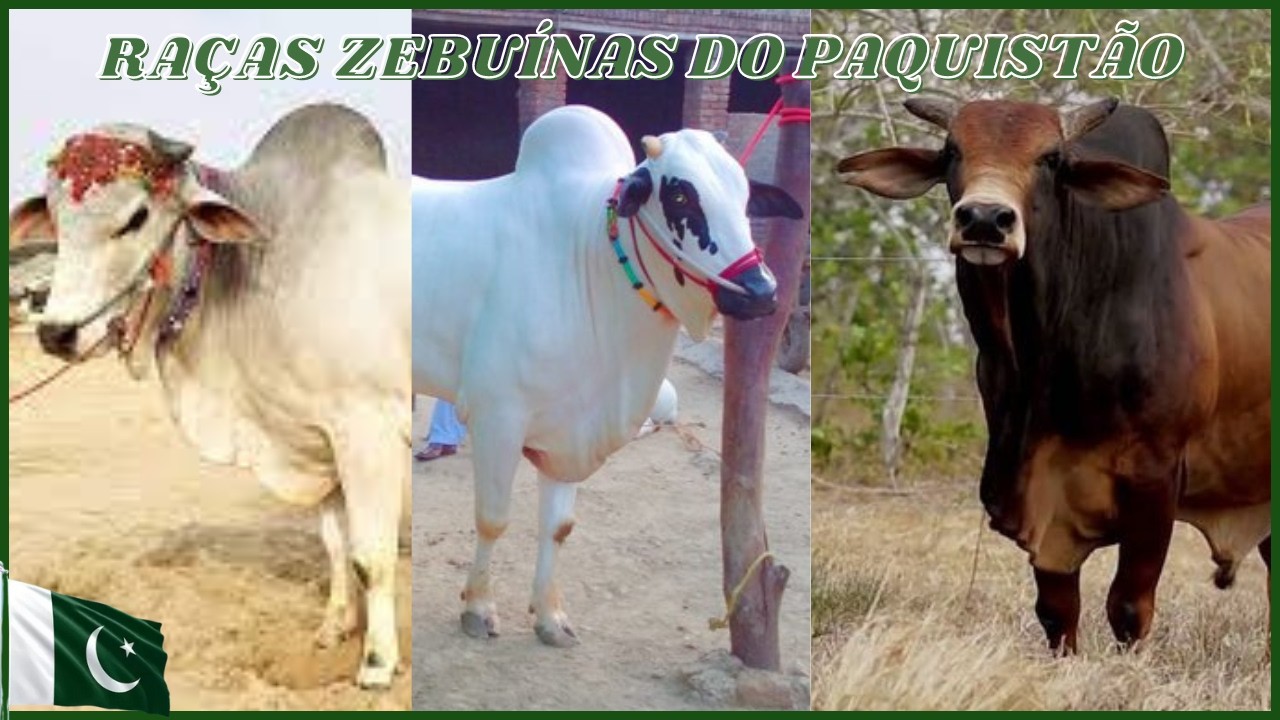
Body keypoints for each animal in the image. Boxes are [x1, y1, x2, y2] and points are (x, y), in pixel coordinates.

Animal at [9, 103, 410, 688]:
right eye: (57, 220)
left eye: (137, 217)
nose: (56, 333)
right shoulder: (316, 436)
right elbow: (336, 545)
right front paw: (334, 629)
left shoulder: (367, 428)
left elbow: (371, 557)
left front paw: (377, 665)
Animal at [411, 104, 802, 647]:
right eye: (680, 195)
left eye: (744, 196)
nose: (761, 291)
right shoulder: (497, 416)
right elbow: (493, 519)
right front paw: (478, 607)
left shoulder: (567, 428)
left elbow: (559, 526)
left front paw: (550, 617)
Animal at [836, 97, 1270, 654]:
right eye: (952, 150)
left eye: (1050, 158)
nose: (984, 218)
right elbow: (1056, 612)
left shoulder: (1155, 478)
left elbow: (1129, 607)